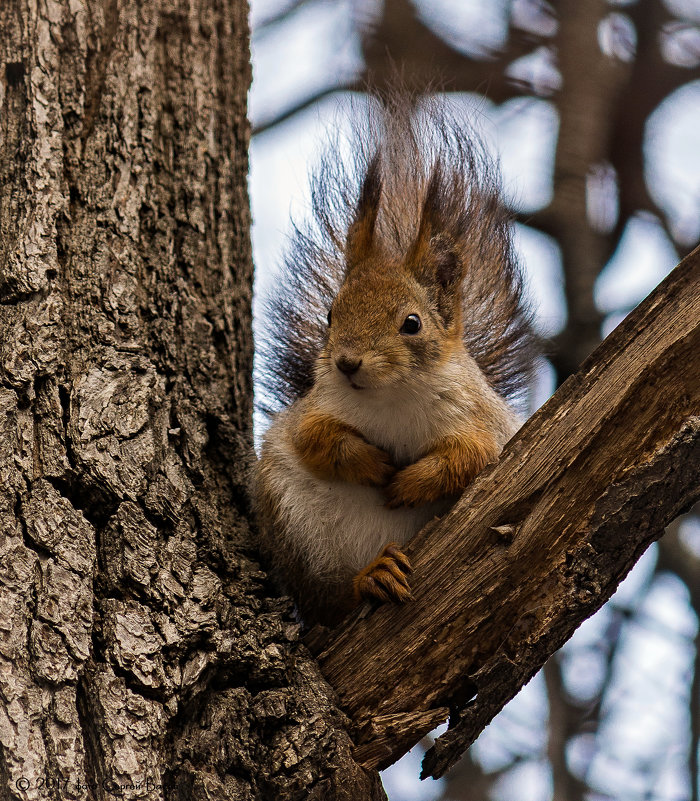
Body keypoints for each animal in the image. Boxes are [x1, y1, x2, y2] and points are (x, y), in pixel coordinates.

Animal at [254, 94, 532, 628]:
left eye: (412, 323)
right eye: (330, 314)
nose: (346, 363)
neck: (392, 397)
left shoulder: (482, 422)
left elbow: (471, 457)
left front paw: (409, 482)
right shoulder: (314, 410)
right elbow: (316, 440)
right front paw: (373, 464)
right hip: (294, 527)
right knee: (330, 602)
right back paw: (371, 577)